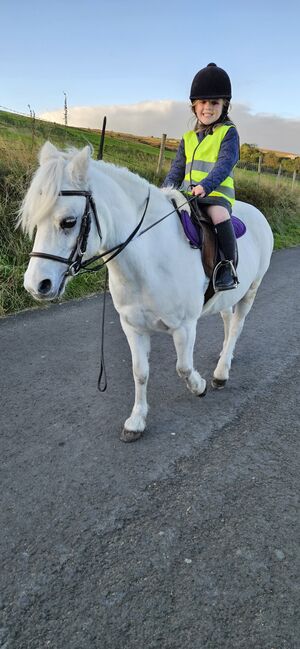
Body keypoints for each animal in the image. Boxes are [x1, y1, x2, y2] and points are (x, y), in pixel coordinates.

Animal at [19, 143, 274, 440]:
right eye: (36, 220)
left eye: (68, 222)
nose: (36, 284)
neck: (150, 258)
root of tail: (257, 213)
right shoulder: (133, 327)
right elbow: (140, 372)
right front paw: (136, 421)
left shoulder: (184, 327)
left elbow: (183, 367)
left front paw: (199, 386)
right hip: (226, 297)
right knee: (227, 319)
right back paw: (225, 356)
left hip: (251, 290)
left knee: (237, 325)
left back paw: (221, 372)